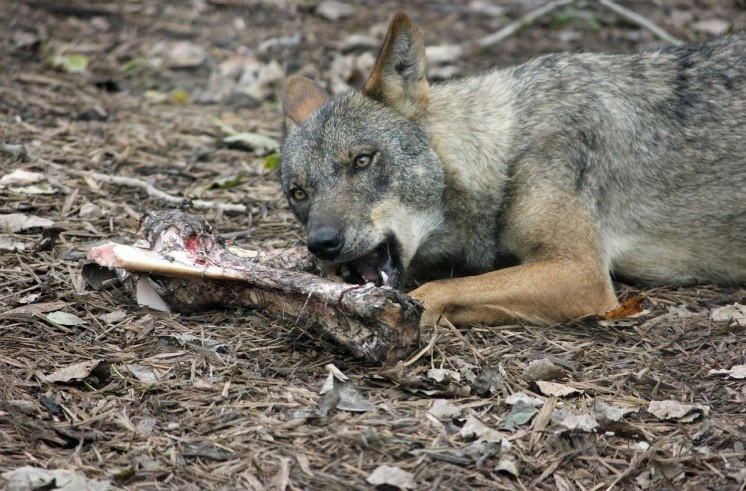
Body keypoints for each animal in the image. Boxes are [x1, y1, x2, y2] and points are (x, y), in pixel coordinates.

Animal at [278, 12, 744, 326]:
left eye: (362, 160)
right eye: (298, 193)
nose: (322, 244)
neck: (505, 153)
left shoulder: (581, 273)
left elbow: (439, 290)